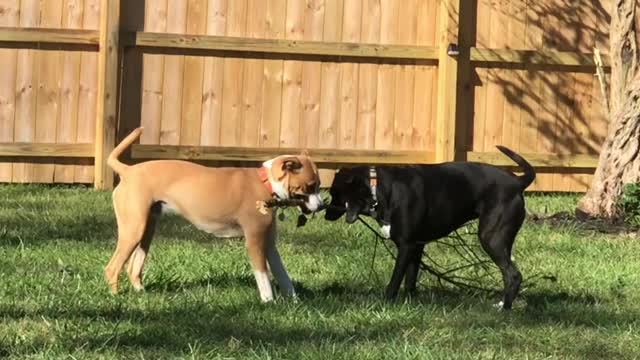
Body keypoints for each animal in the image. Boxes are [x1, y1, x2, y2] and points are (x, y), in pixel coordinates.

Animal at [106, 128, 324, 302]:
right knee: (112, 268)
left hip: (146, 230)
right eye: (310, 186)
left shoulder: (269, 244)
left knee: (133, 268)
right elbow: (263, 276)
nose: (322, 205)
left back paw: (140, 293)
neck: (265, 183)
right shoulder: (255, 241)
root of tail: (127, 170)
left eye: (319, 185)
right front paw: (268, 301)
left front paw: (294, 301)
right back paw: (116, 298)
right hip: (133, 230)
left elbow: (283, 275)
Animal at [324, 146, 536, 310]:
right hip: (503, 240)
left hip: (491, 238)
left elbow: (395, 280)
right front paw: (410, 303)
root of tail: (517, 182)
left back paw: (505, 309)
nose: (326, 214)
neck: (380, 189)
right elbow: (410, 280)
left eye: (335, 194)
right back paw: (503, 304)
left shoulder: (406, 246)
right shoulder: (416, 247)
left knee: (513, 275)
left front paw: (386, 302)